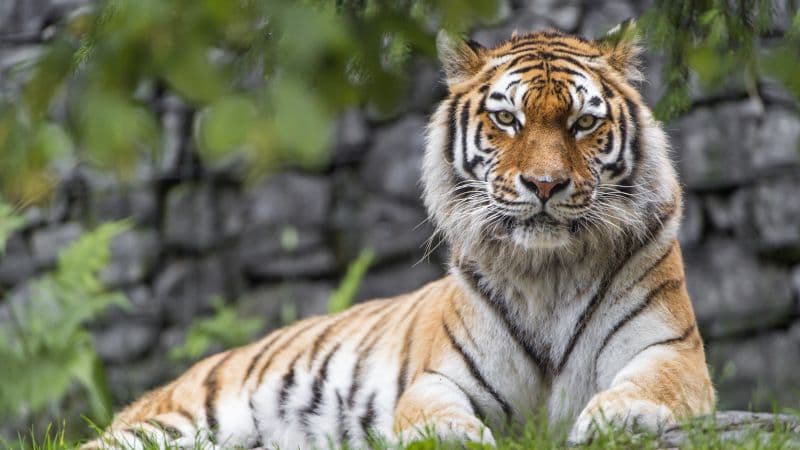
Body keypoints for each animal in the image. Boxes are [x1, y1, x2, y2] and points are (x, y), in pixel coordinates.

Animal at [84, 24, 715, 449]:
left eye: (584, 123)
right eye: (506, 119)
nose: (544, 184)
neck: (548, 274)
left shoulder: (671, 351)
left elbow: (650, 386)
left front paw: (619, 419)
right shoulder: (440, 377)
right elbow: (434, 413)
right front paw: (453, 437)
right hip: (173, 424)